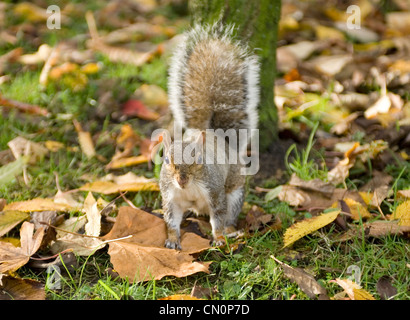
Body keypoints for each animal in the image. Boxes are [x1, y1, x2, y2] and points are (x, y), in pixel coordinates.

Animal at [159, 23, 260, 250]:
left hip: (235, 193)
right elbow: (171, 220)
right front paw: (172, 239)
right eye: (166, 160)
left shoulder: (215, 193)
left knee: (229, 216)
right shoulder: (170, 197)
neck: (188, 188)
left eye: (198, 159)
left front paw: (219, 237)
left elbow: (218, 217)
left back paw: (231, 231)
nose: (182, 180)